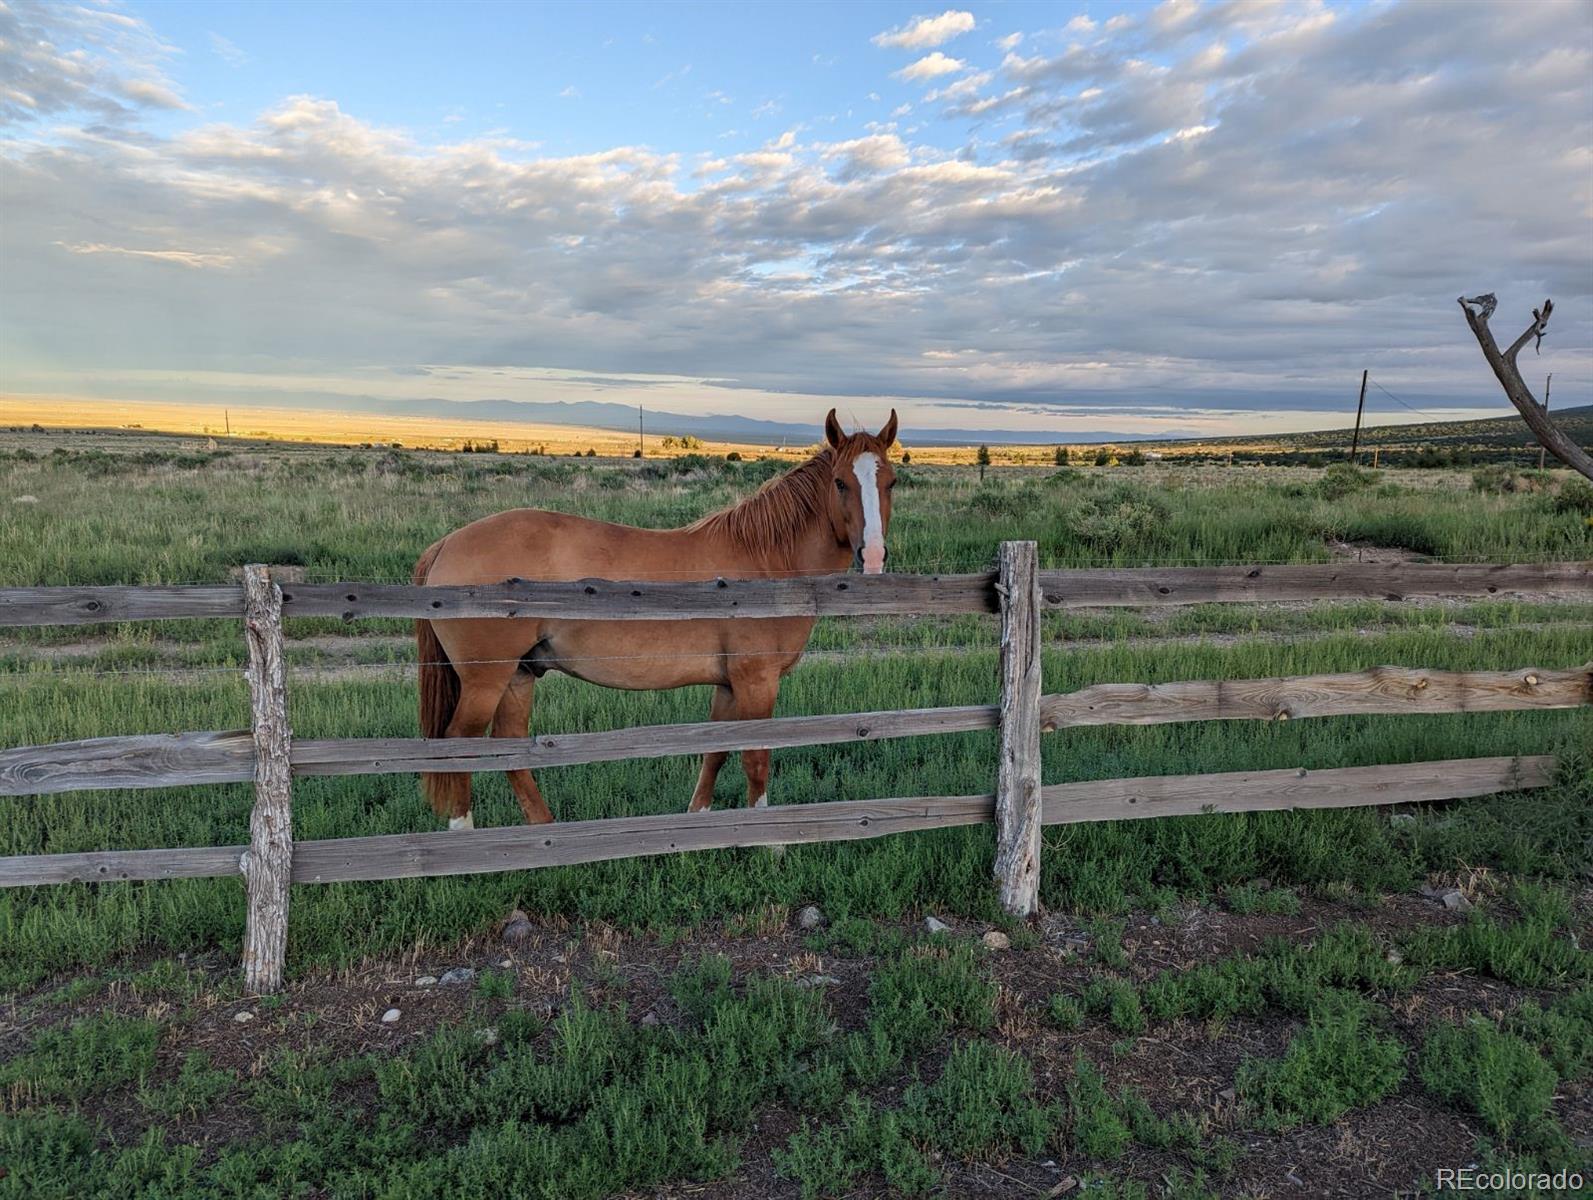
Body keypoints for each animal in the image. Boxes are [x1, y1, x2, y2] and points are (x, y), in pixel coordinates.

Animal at [410, 407, 898, 828]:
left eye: (891, 482)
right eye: (840, 483)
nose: (873, 556)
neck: (765, 562)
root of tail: (448, 543)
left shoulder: (728, 683)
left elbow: (716, 753)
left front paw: (697, 822)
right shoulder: (757, 680)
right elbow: (756, 758)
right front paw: (769, 844)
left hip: (519, 674)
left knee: (511, 747)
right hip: (486, 678)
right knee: (461, 746)